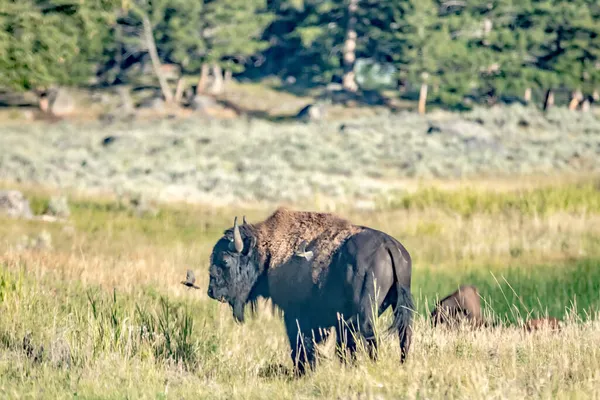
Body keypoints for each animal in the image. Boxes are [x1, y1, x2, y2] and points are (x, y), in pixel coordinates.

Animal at [206, 208, 412, 376]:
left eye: (225, 261)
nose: (211, 291)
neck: (269, 251)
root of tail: (388, 245)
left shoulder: (296, 315)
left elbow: (301, 344)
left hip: (366, 314)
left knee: (369, 339)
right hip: (401, 308)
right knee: (403, 336)